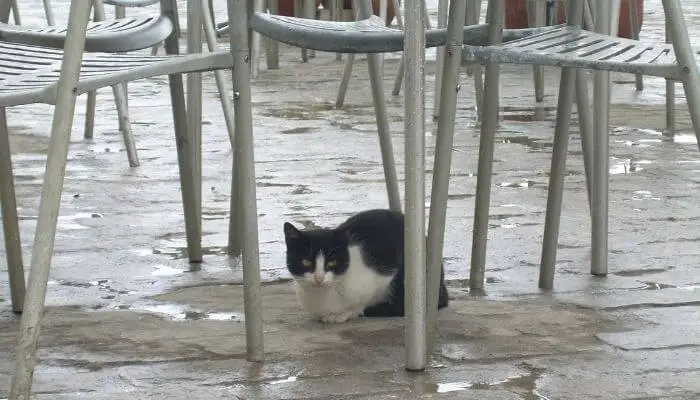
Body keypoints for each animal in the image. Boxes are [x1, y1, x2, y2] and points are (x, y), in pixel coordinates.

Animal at [280, 208, 448, 324]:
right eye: (306, 261)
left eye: (332, 262)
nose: (319, 278)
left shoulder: (383, 274)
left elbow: (362, 302)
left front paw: (344, 314)